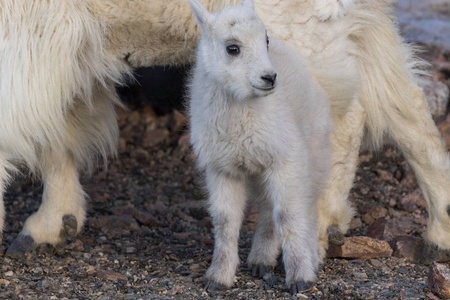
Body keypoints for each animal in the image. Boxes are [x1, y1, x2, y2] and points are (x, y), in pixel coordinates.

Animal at [0, 1, 450, 264]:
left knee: (341, 115)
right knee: (400, 100)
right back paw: (439, 233)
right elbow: (55, 130)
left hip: (294, 27)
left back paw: (318, 226)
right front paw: (53, 222)